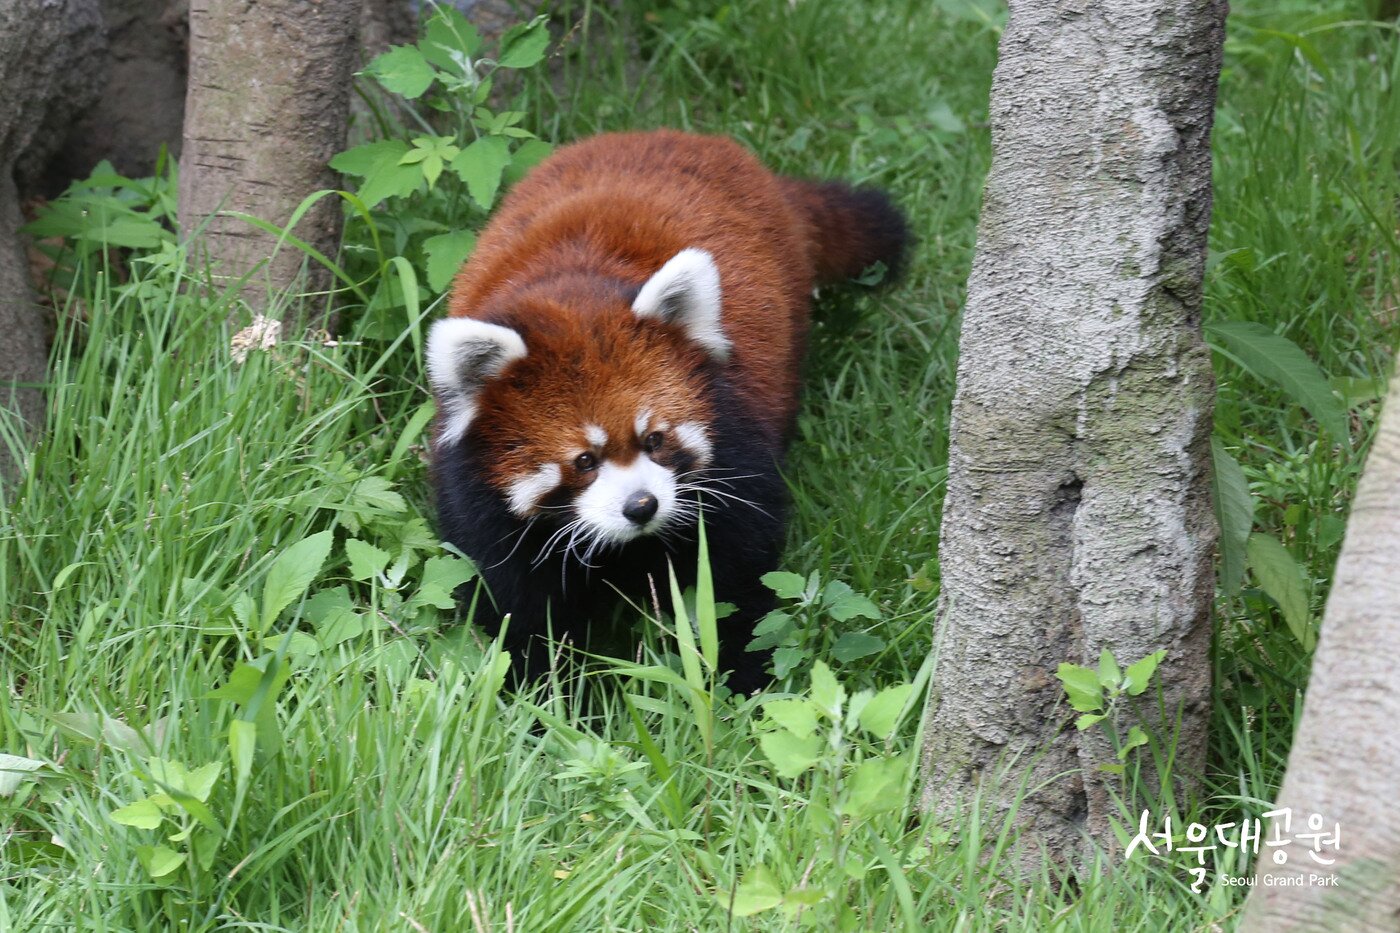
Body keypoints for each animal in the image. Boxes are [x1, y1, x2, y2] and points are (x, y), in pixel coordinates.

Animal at [425, 127, 907, 686]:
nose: (642, 506)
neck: (573, 291)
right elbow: (513, 601)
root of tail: (672, 135)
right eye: (584, 460)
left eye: (654, 439)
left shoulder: (733, 437)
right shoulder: (479, 497)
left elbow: (734, 579)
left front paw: (744, 678)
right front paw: (542, 690)